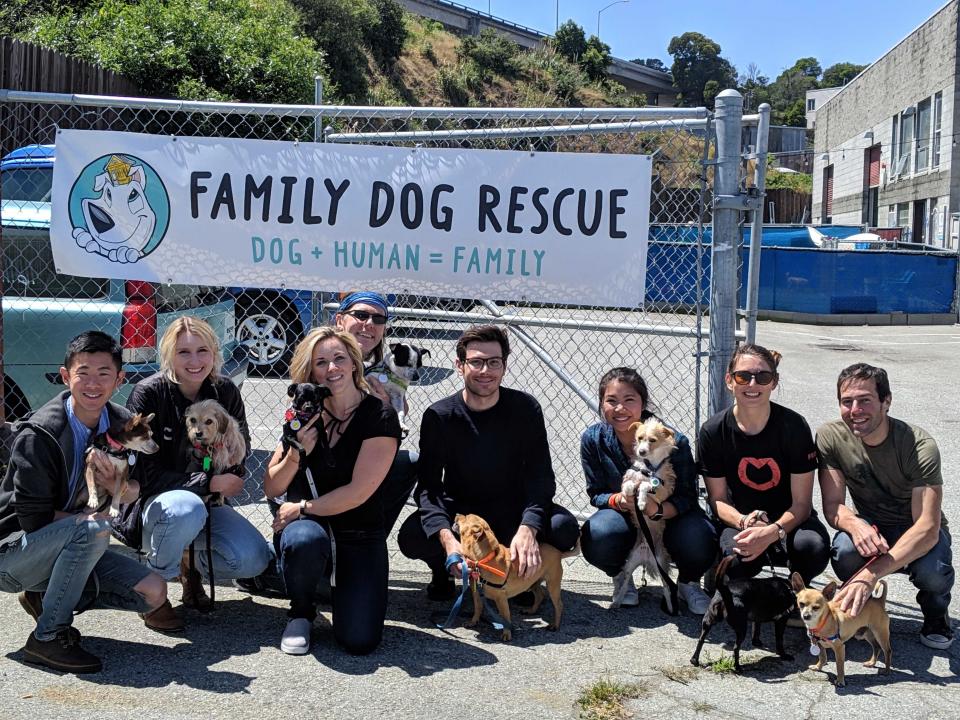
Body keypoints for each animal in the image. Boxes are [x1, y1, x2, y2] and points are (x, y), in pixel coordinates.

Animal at [454, 512, 568, 640]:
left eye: (466, 517)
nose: (457, 514)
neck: (483, 561)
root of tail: (559, 552)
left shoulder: (501, 598)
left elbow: (505, 617)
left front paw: (507, 633)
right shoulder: (477, 593)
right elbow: (478, 608)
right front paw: (473, 621)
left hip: (553, 585)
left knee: (558, 605)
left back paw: (555, 625)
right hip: (532, 582)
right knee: (540, 595)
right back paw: (531, 611)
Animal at [612, 420, 680, 612]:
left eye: (653, 440)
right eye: (640, 438)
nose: (641, 452)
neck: (649, 468)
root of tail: (646, 555)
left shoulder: (661, 491)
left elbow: (644, 486)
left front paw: (641, 502)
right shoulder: (631, 477)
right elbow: (629, 484)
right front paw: (629, 494)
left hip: (662, 567)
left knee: (666, 589)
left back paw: (671, 608)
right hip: (629, 564)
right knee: (625, 583)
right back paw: (616, 603)